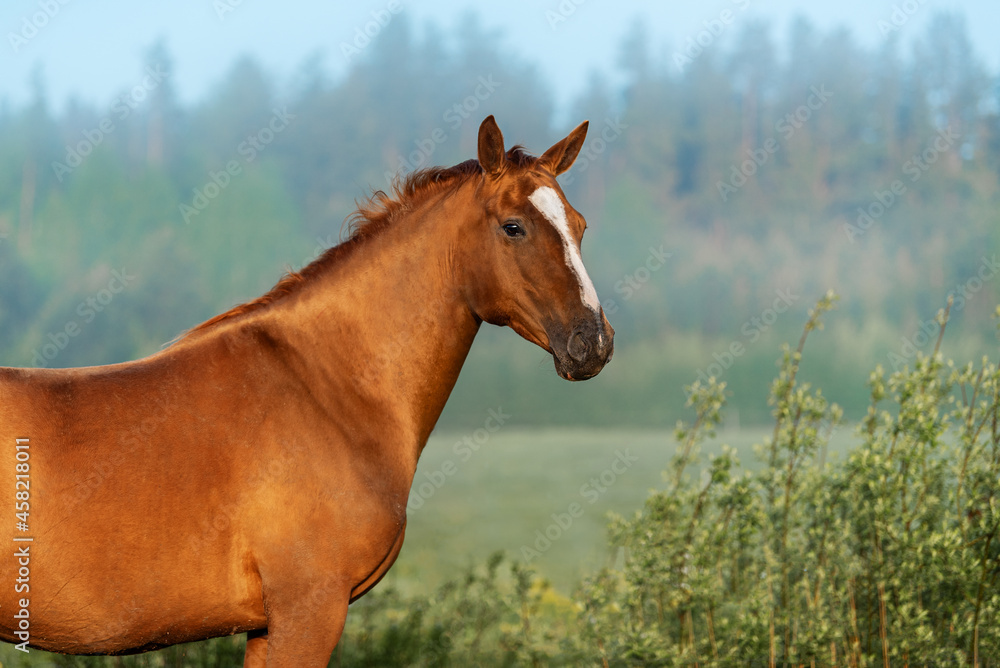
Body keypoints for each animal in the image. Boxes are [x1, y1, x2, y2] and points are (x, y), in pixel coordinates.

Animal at [0, 115, 614, 666]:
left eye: (581, 225)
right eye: (513, 226)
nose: (593, 343)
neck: (325, 388)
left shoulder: (267, 626)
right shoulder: (309, 610)